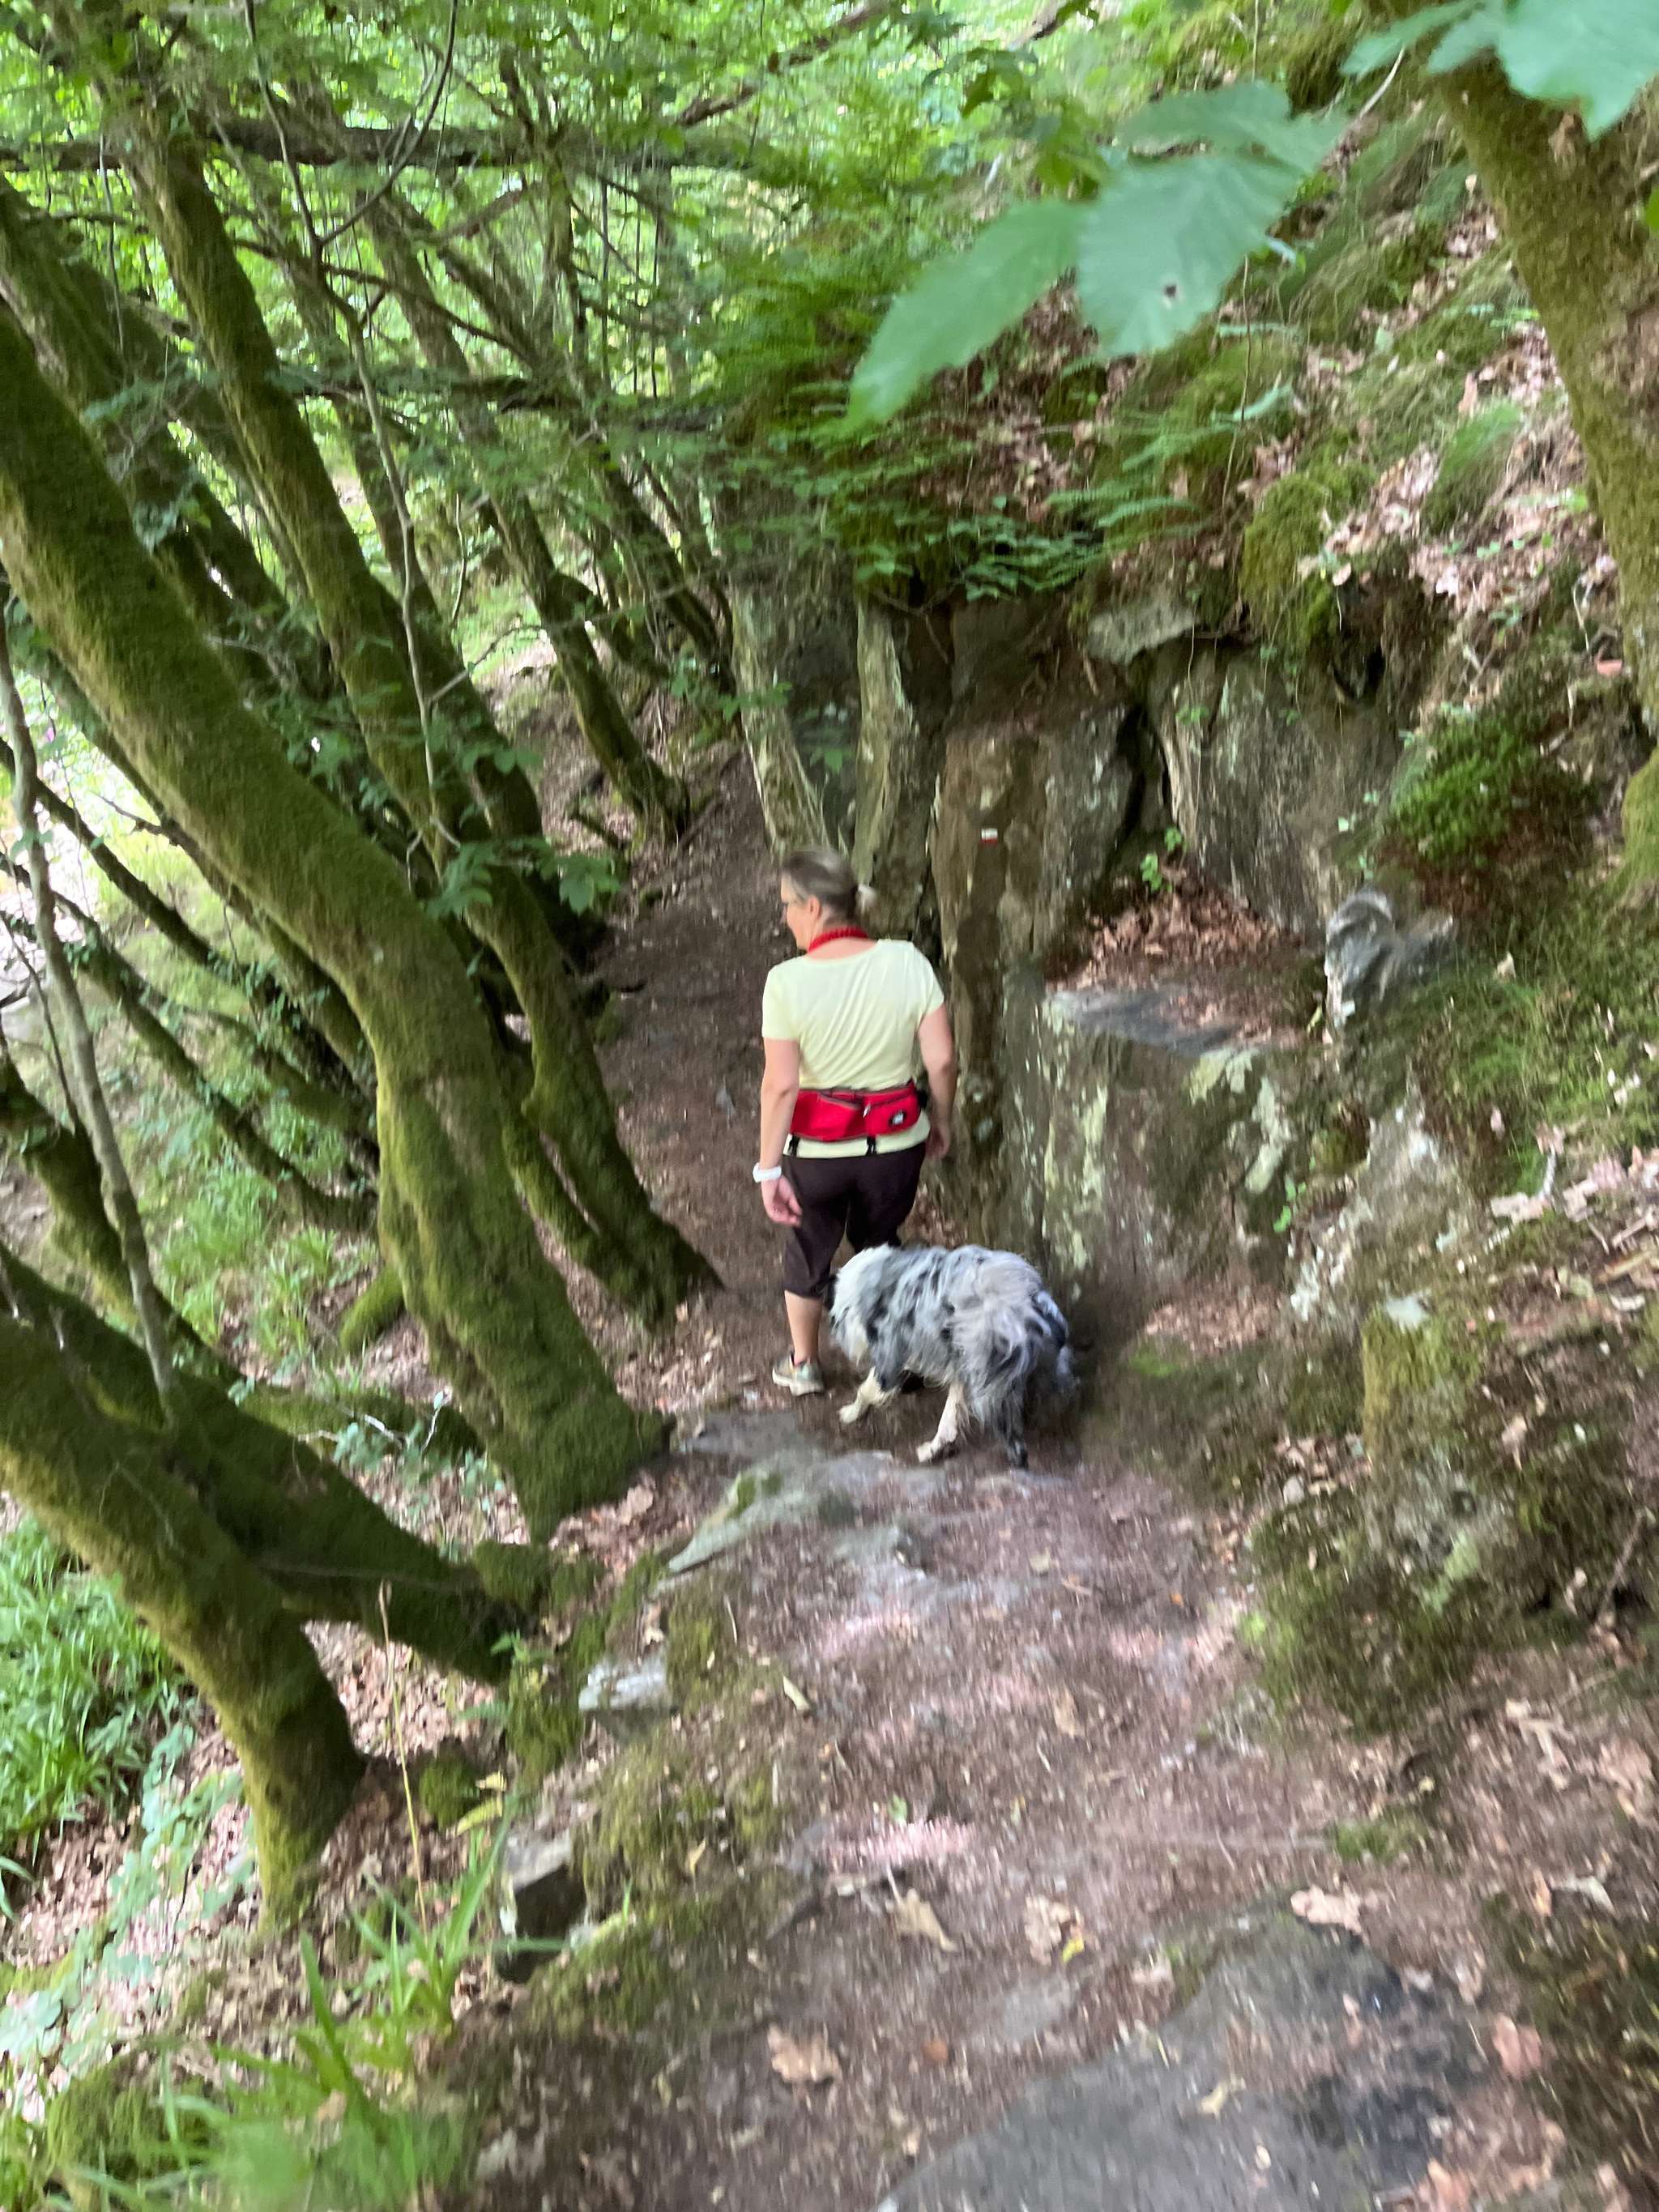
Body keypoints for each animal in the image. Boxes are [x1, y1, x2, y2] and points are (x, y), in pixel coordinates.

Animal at [824, 1243, 1075, 1469]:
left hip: (988, 1375)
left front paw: (851, 1413)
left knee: (1010, 1432)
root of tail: (1027, 1295)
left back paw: (1018, 1460)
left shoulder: (892, 1354)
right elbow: (950, 1418)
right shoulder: (947, 1363)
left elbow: (867, 1389)